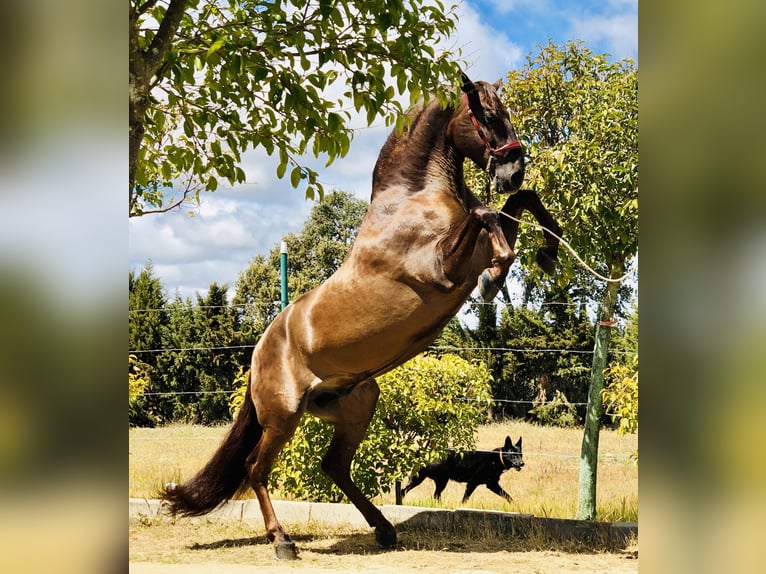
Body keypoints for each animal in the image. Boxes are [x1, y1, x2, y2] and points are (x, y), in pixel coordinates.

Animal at [164, 74, 564, 560]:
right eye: (486, 115)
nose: (513, 170)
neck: (414, 196)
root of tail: (259, 351)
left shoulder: (476, 246)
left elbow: (521, 204)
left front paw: (548, 251)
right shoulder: (444, 270)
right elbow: (486, 213)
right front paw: (495, 279)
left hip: (356, 406)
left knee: (333, 466)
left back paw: (384, 529)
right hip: (283, 416)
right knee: (256, 468)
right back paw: (283, 542)